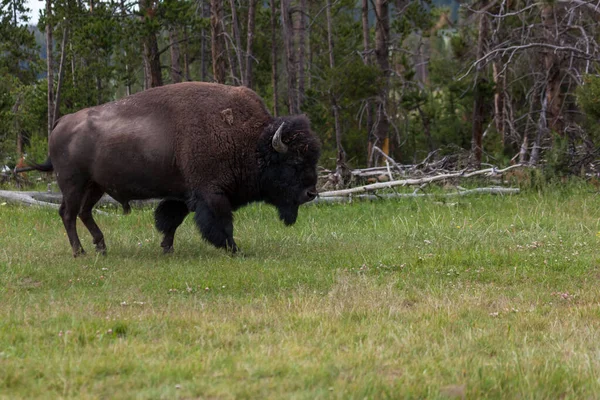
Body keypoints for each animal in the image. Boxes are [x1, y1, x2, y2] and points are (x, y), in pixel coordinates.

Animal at [17, 82, 318, 256]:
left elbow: (171, 220)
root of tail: (60, 123)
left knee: (83, 212)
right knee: (67, 213)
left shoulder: (183, 194)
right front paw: (235, 250)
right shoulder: (210, 193)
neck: (251, 141)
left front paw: (166, 248)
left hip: (95, 186)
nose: (311, 193)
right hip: (73, 184)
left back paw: (102, 246)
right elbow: (221, 223)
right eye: (294, 163)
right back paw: (80, 252)